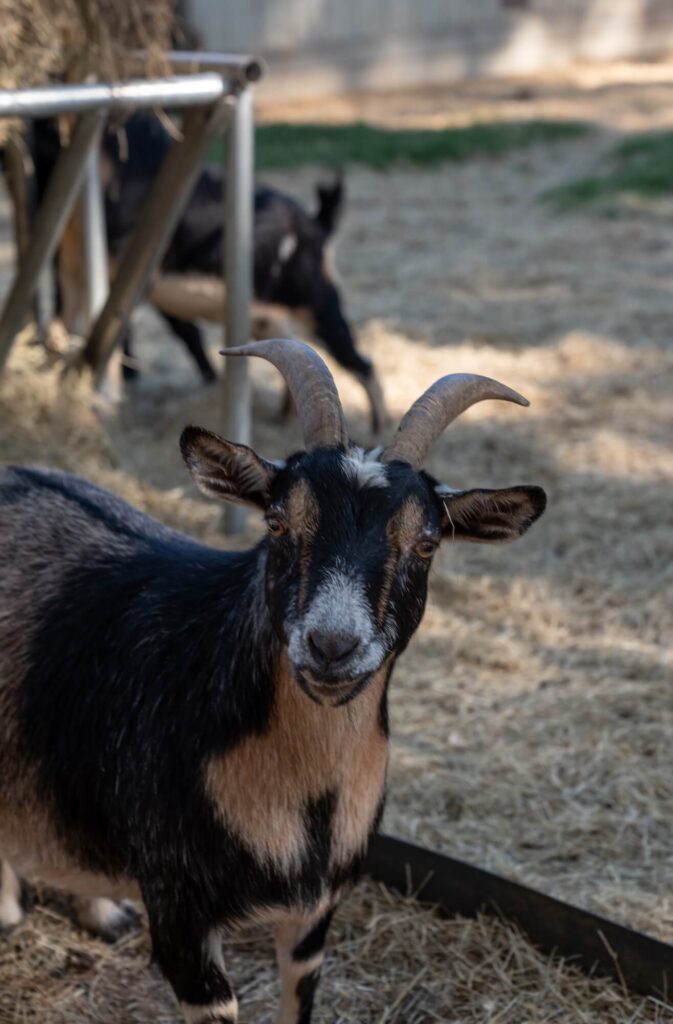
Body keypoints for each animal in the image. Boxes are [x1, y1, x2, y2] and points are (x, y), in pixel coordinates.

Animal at [28, 114, 388, 431]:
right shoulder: (79, 268)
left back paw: (378, 428)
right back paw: (282, 419)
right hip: (267, 318)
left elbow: (136, 329)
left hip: (318, 302)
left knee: (359, 359)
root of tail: (318, 224)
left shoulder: (135, 268)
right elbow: (71, 321)